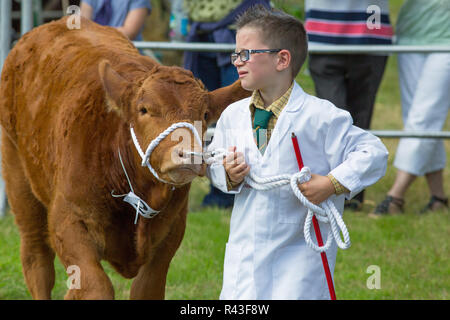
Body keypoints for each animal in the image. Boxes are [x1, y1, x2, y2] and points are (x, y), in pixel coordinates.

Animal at [0, 16, 248, 298]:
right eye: (144, 109)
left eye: (205, 114)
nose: (188, 155)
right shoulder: (68, 221)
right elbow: (96, 286)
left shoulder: (171, 232)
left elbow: (146, 288)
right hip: (18, 178)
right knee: (37, 259)